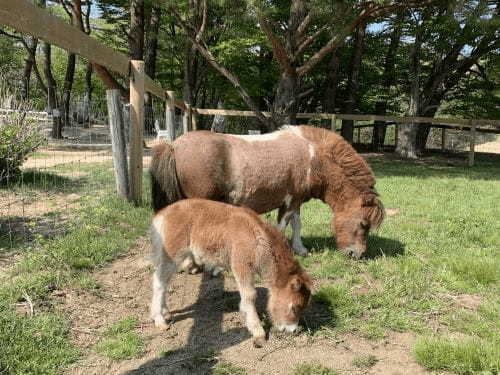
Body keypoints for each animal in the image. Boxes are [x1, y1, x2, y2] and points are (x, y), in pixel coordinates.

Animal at [150, 125, 384, 258]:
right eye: (364, 224)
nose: (357, 255)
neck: (313, 158)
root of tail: (174, 145)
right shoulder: (289, 203)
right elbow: (281, 227)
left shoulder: (296, 201)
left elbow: (297, 224)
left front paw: (300, 249)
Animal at [150, 198, 310, 348]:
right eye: (294, 307)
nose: (293, 330)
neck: (257, 238)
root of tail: (163, 214)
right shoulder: (241, 266)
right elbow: (250, 295)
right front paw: (258, 332)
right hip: (173, 254)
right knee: (159, 283)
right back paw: (160, 320)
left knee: (165, 282)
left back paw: (166, 313)